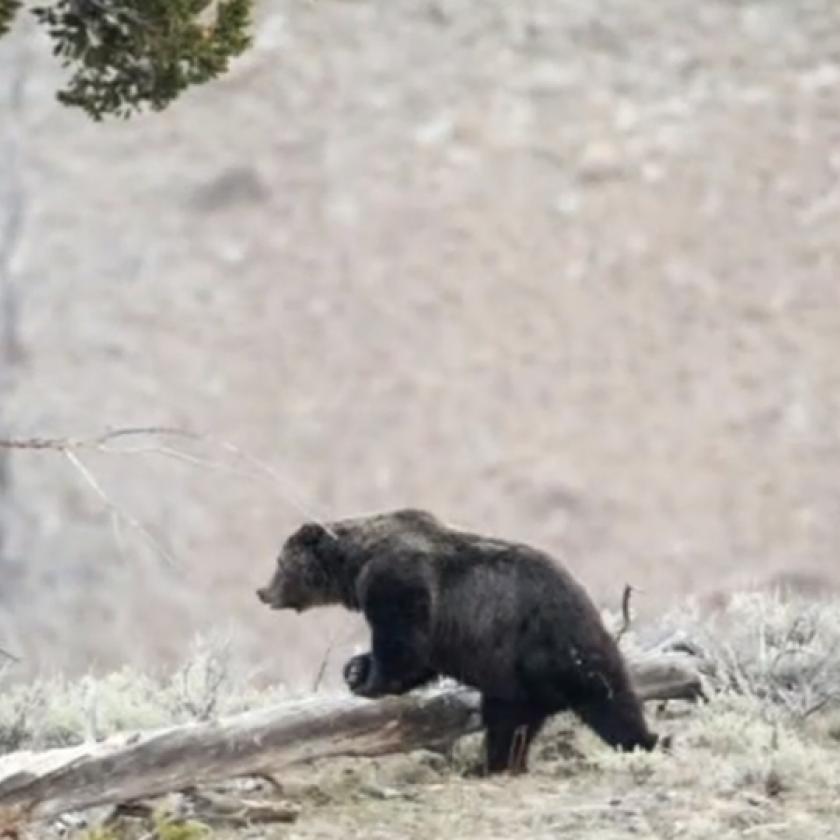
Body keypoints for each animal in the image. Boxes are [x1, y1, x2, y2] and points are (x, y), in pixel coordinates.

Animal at [256, 508, 656, 772]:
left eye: (279, 562)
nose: (262, 592)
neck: (356, 566)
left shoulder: (397, 584)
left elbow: (403, 648)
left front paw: (368, 681)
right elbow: (420, 661)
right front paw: (355, 668)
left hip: (549, 643)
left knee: (605, 698)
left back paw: (641, 741)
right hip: (517, 676)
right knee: (514, 720)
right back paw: (501, 762)